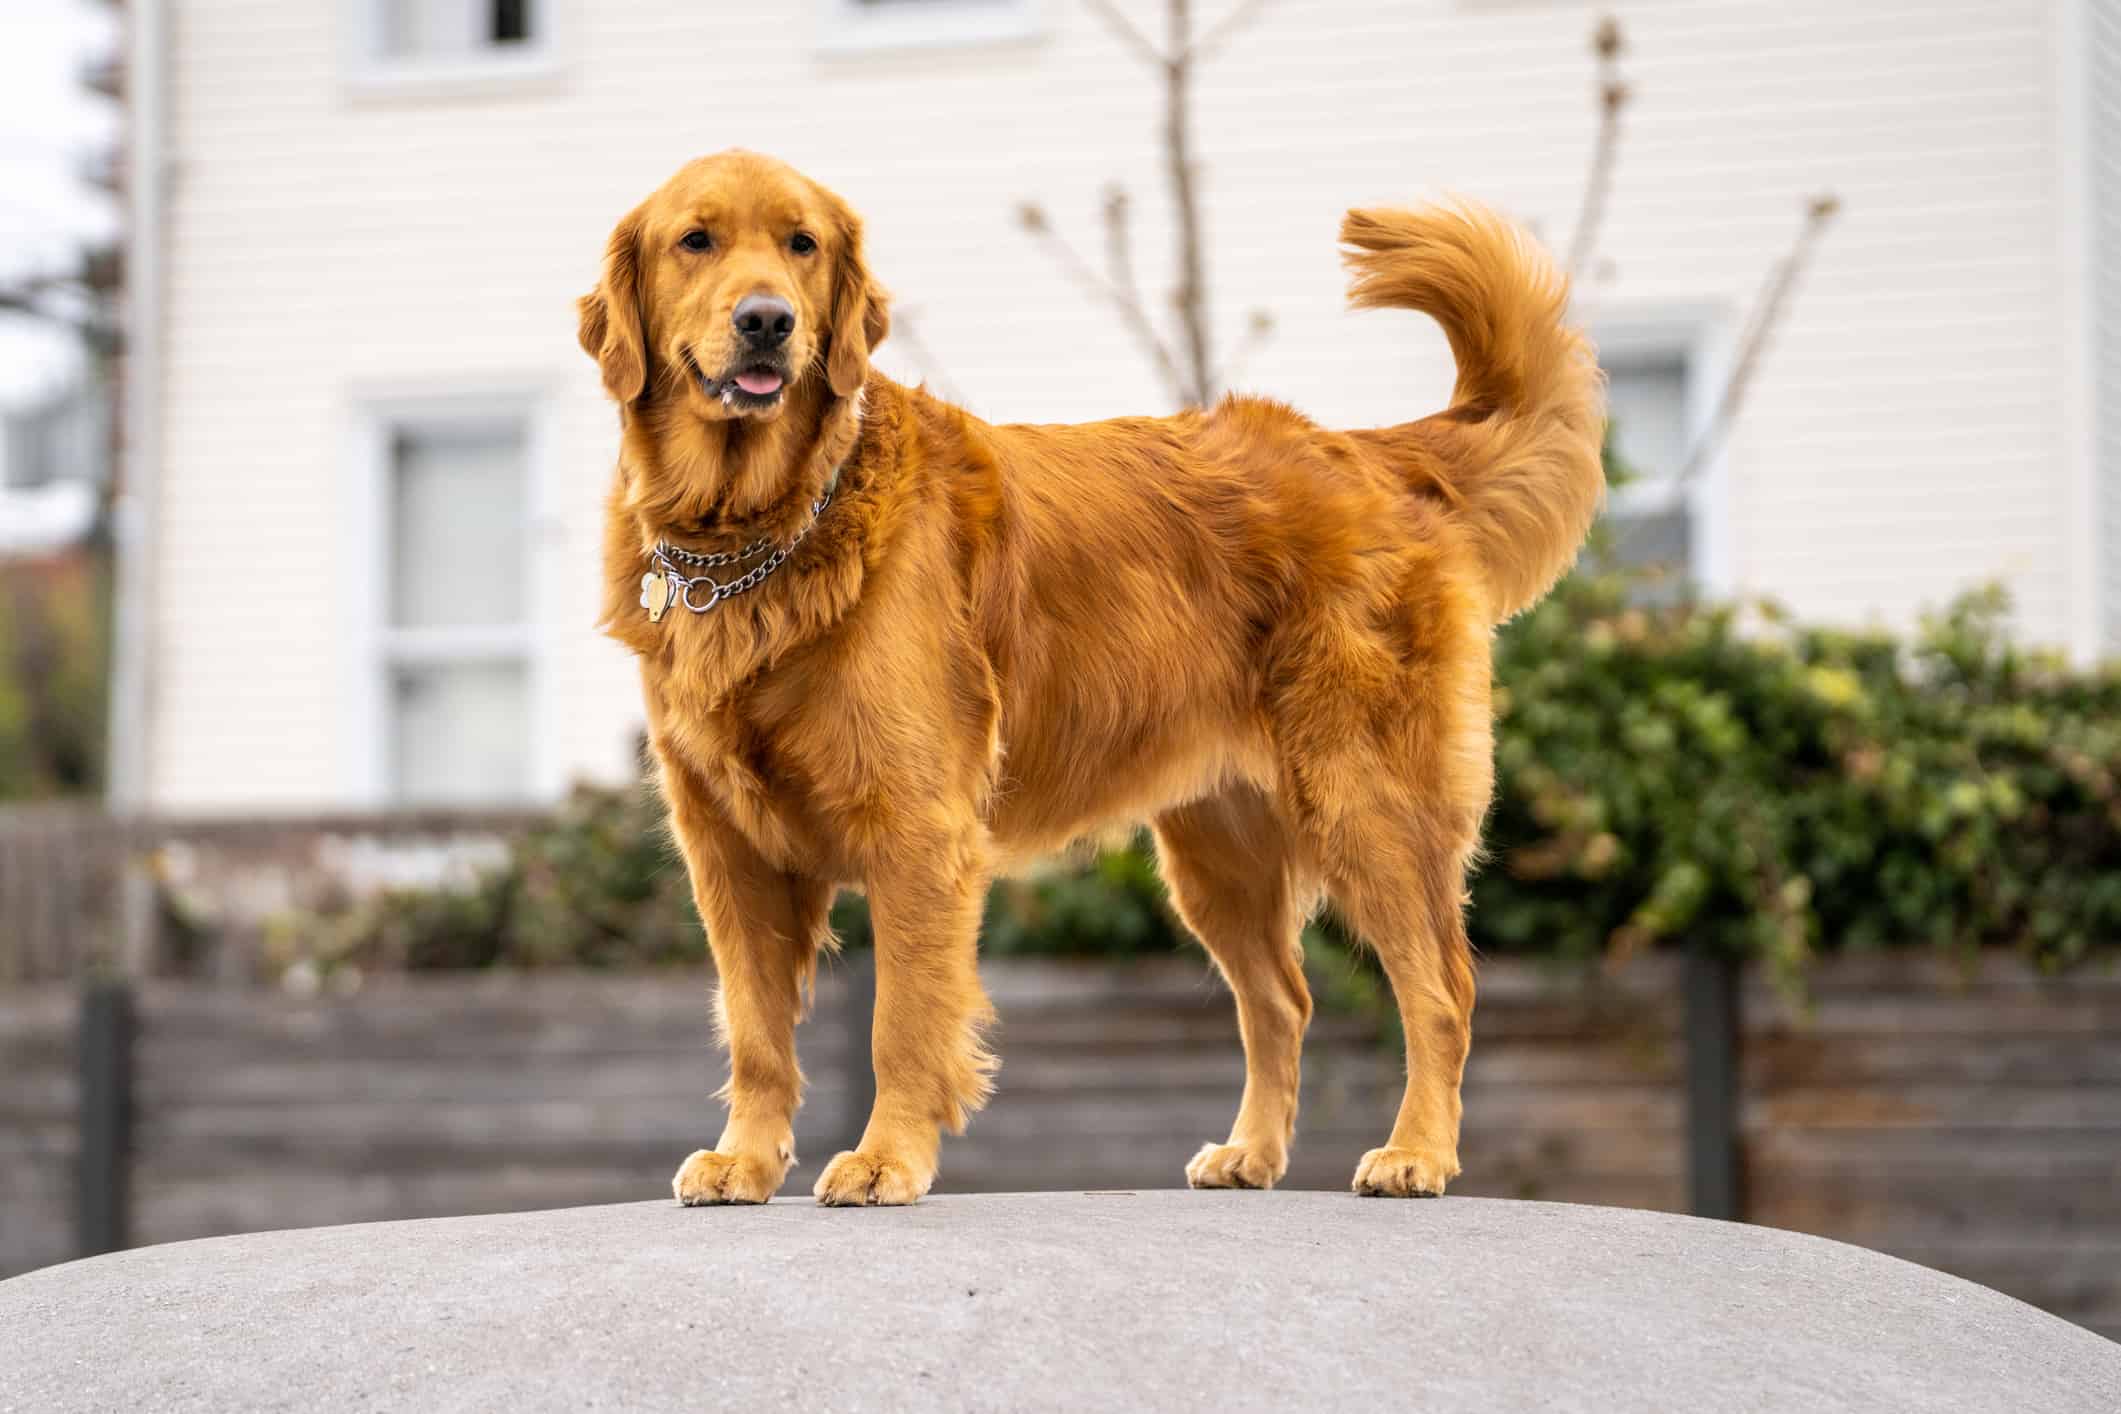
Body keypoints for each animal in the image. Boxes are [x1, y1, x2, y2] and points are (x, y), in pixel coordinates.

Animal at [572, 149, 1594, 1204]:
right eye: (695, 241)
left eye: (801, 244)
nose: (767, 319)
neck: (755, 533)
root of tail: (1364, 451)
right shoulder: (726, 846)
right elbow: (755, 1028)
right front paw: (745, 1156)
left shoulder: (917, 828)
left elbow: (901, 1020)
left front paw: (886, 1157)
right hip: (1217, 849)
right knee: (1282, 1000)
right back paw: (1251, 1151)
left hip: (1365, 798)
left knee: (1440, 990)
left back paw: (1416, 1151)